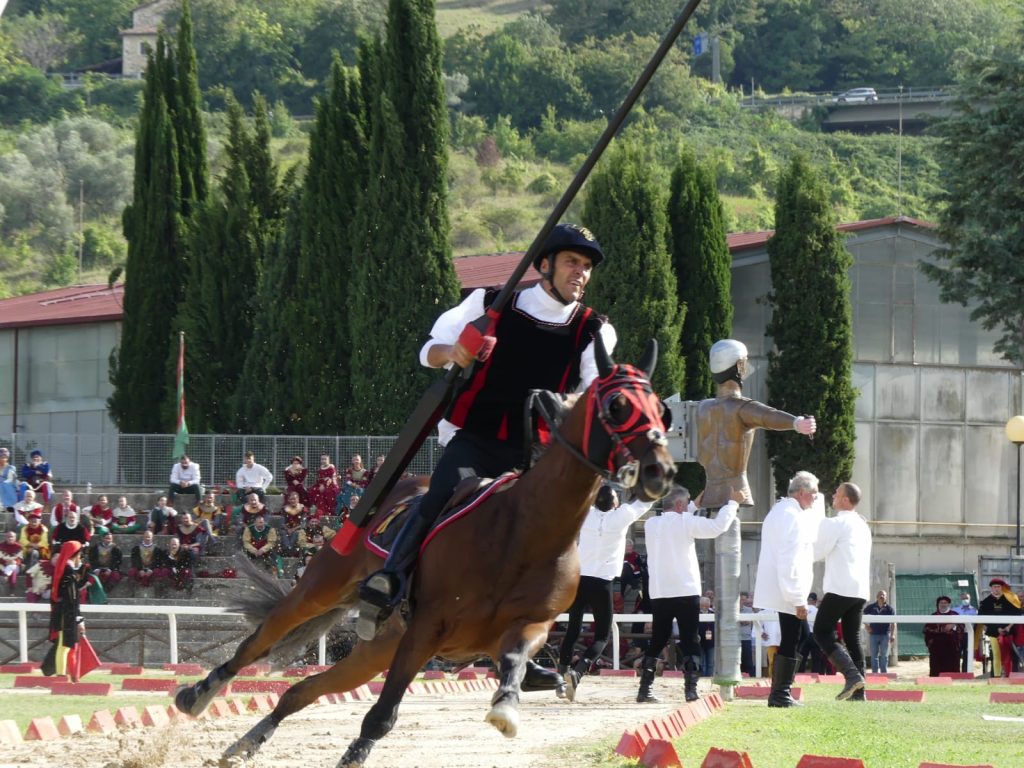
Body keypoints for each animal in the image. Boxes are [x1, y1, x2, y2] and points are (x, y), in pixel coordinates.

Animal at [172, 339, 675, 765]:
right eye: (617, 405)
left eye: (662, 411)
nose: (661, 472)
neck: (527, 530)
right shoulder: (427, 628)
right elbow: (381, 715)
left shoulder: (527, 626)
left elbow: (514, 662)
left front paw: (508, 705)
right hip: (325, 590)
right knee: (261, 640)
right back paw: (199, 693)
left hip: (377, 649)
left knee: (303, 691)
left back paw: (246, 743)